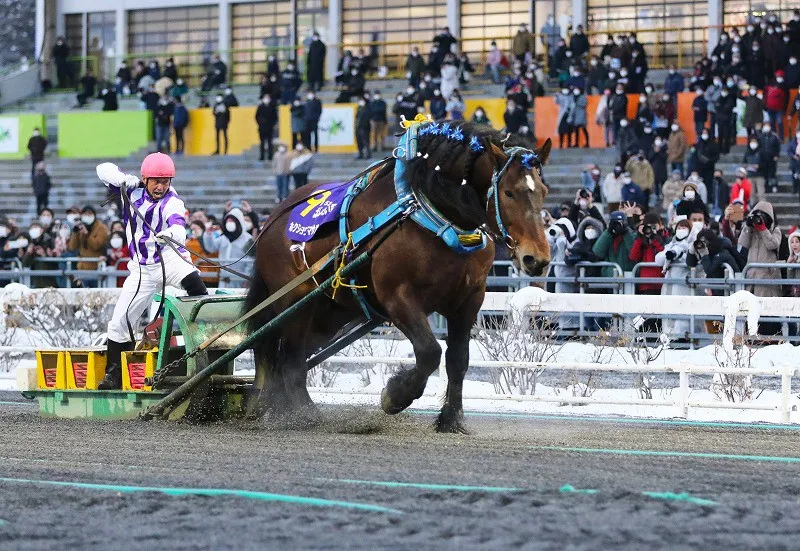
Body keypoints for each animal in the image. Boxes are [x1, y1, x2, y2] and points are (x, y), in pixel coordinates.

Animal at [245, 123, 552, 434]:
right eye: (509, 192)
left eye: (543, 191)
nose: (536, 258)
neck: (431, 216)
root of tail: (273, 219)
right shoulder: (397, 296)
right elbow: (429, 351)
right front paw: (395, 395)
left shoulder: (469, 299)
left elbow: (458, 360)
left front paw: (451, 418)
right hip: (294, 303)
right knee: (290, 357)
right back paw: (305, 415)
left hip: (330, 313)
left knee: (290, 357)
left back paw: (278, 407)